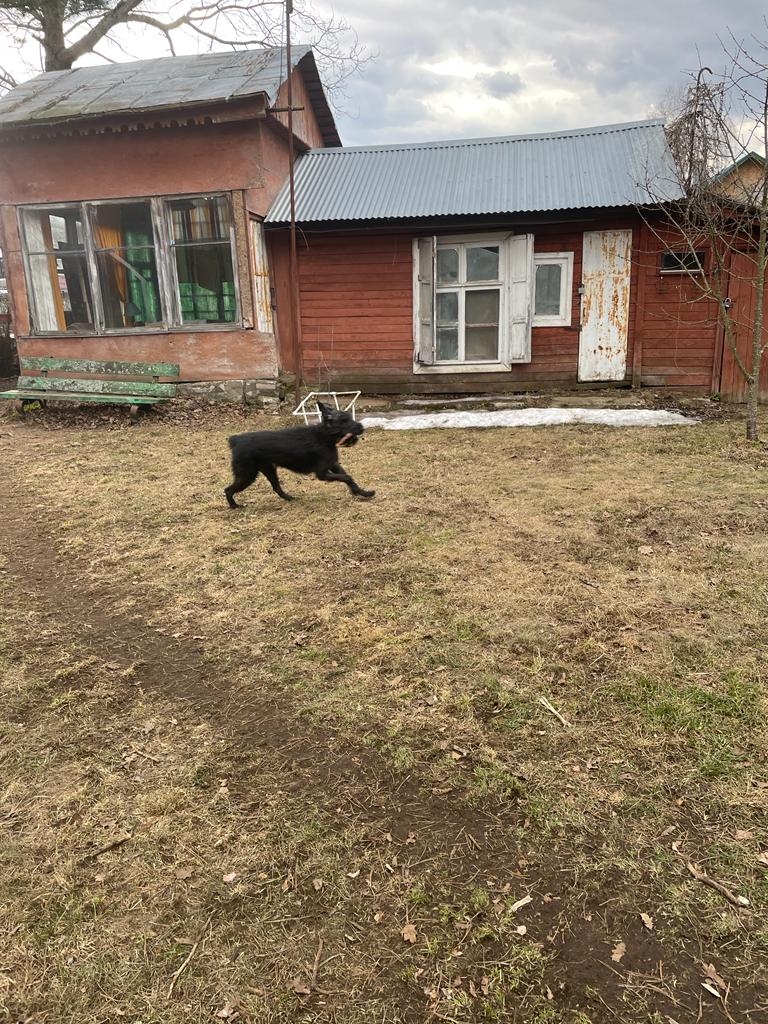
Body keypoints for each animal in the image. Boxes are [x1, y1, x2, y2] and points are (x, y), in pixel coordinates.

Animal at [224, 402, 375, 508]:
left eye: (349, 417)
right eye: (344, 421)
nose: (361, 427)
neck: (324, 436)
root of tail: (236, 440)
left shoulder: (333, 464)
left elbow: (349, 478)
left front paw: (363, 492)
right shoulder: (322, 473)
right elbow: (346, 477)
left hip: (268, 470)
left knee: (276, 487)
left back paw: (290, 498)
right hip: (247, 475)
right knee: (227, 490)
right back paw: (234, 506)